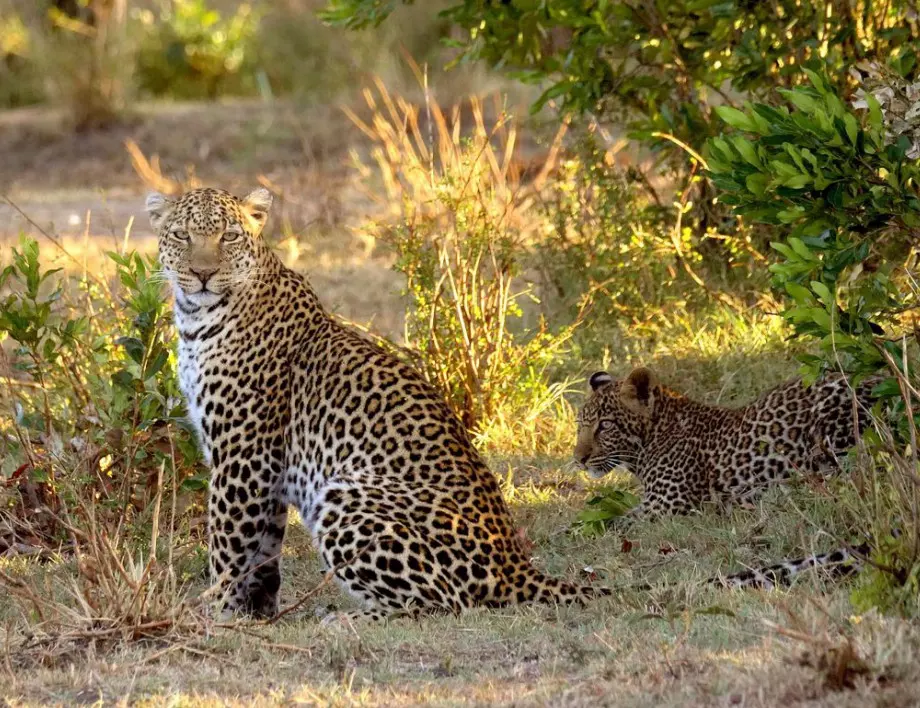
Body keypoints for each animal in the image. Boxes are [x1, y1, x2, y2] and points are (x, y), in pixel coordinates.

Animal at [147, 187, 608, 620]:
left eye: (228, 236)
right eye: (182, 235)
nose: (203, 273)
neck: (197, 319)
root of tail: (517, 566)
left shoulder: (244, 453)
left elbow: (228, 542)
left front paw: (215, 612)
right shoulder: (265, 466)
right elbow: (263, 550)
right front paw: (256, 613)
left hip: (345, 497)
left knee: (445, 602)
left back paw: (343, 618)